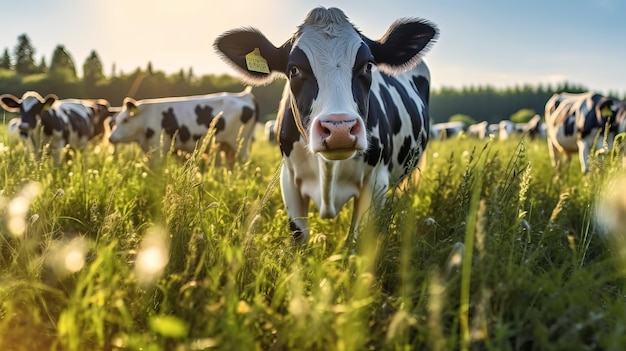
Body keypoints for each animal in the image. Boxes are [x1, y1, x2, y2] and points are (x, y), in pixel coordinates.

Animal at [108, 86, 258, 167]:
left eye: (126, 120)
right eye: (116, 121)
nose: (110, 138)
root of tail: (245, 95)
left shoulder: (158, 147)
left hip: (240, 143)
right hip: (228, 146)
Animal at [214, 6, 438, 245]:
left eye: (368, 66)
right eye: (294, 69)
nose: (340, 130)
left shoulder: (377, 181)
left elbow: (357, 240)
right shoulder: (289, 179)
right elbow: (299, 235)